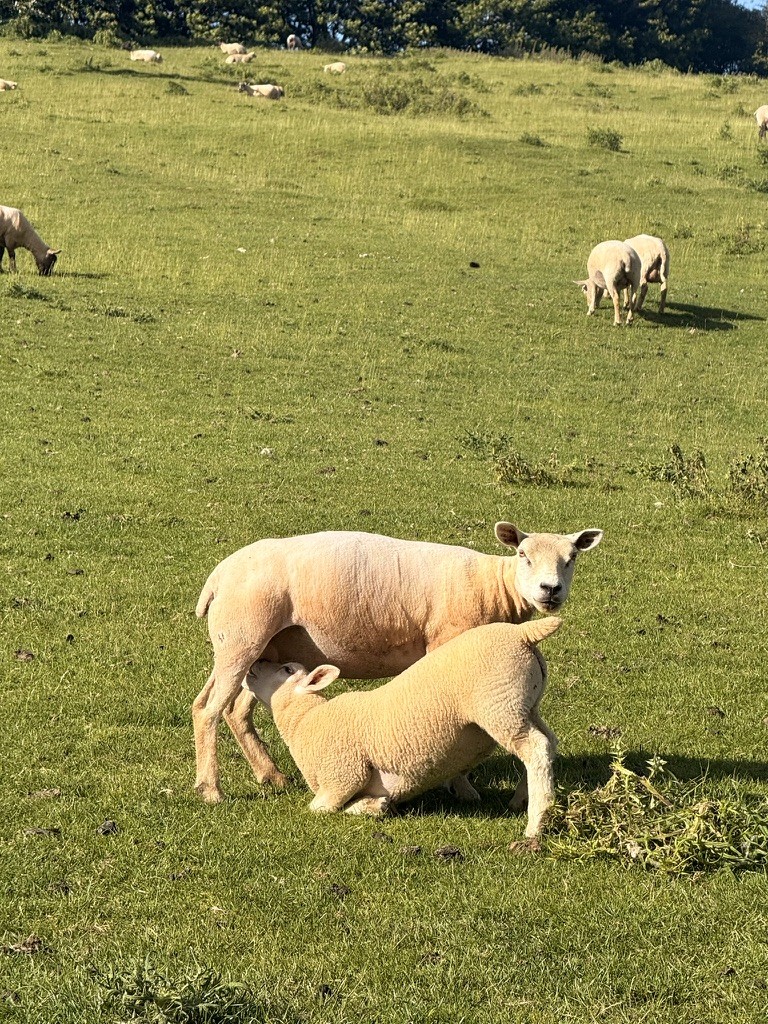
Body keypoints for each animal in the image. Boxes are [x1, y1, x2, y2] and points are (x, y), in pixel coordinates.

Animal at [193, 523, 603, 803]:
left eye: (572, 559)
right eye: (523, 555)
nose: (550, 590)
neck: (494, 586)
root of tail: (218, 576)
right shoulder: (447, 640)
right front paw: (462, 787)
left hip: (264, 649)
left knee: (231, 709)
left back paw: (271, 776)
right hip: (241, 637)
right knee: (209, 710)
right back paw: (211, 789)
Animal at [243, 618, 562, 837]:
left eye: (287, 670)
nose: (253, 666)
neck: (305, 720)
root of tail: (522, 633)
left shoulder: (341, 777)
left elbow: (320, 809)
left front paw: (374, 807)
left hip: (500, 705)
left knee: (535, 749)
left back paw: (536, 822)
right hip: (525, 706)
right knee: (548, 743)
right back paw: (521, 800)